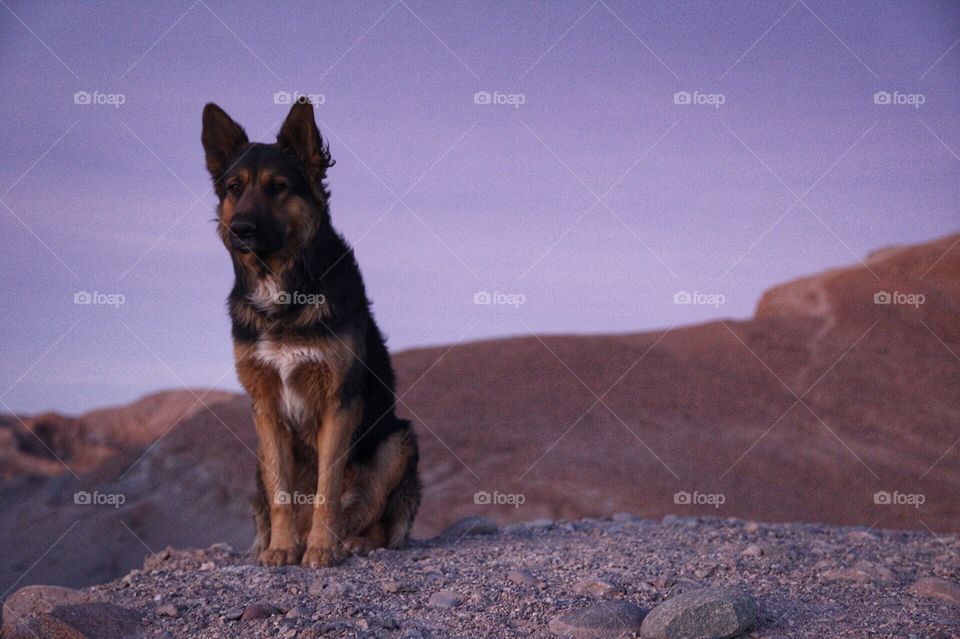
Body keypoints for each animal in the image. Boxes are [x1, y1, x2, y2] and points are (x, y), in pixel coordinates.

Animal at [202, 97, 420, 568]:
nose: (241, 230)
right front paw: (283, 548)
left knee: (373, 514)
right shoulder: (265, 407)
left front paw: (321, 548)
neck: (284, 292)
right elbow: (282, 492)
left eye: (277, 187)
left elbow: (328, 488)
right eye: (234, 188)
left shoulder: (340, 402)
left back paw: (351, 542)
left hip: (397, 441)